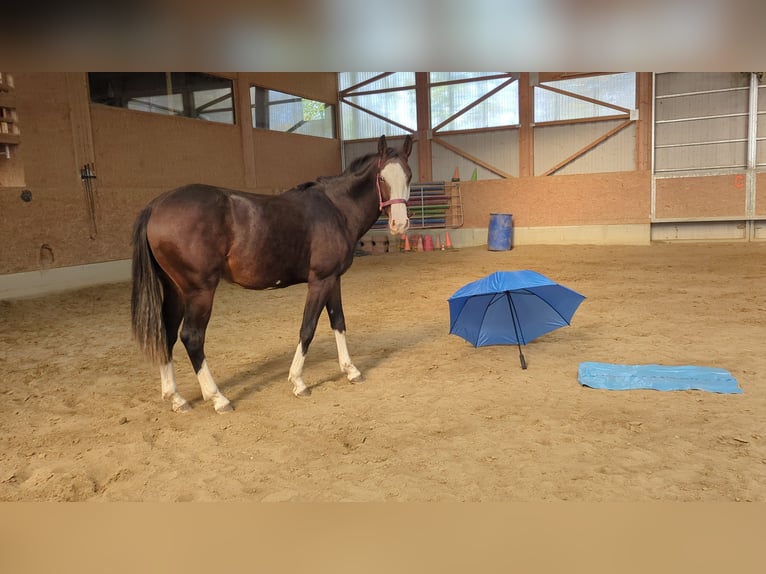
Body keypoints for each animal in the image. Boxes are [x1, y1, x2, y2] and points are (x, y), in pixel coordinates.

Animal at [131, 134, 413, 413]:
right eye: (381, 178)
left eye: (409, 176)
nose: (399, 224)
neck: (336, 208)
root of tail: (156, 205)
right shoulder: (320, 281)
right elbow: (308, 327)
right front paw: (298, 381)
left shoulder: (333, 279)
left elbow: (339, 322)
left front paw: (351, 370)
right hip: (200, 291)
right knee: (192, 337)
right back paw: (217, 397)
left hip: (176, 291)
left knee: (167, 333)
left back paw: (176, 397)